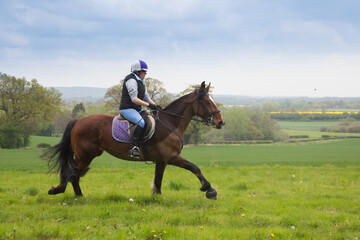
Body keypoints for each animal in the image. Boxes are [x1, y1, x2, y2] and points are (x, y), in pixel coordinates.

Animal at [43, 81, 225, 200]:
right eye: (207, 102)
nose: (221, 122)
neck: (171, 123)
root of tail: (78, 120)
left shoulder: (162, 160)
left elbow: (158, 179)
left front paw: (156, 197)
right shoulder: (172, 156)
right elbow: (194, 168)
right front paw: (209, 189)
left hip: (89, 154)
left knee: (75, 173)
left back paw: (74, 194)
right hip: (85, 155)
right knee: (73, 173)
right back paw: (75, 195)